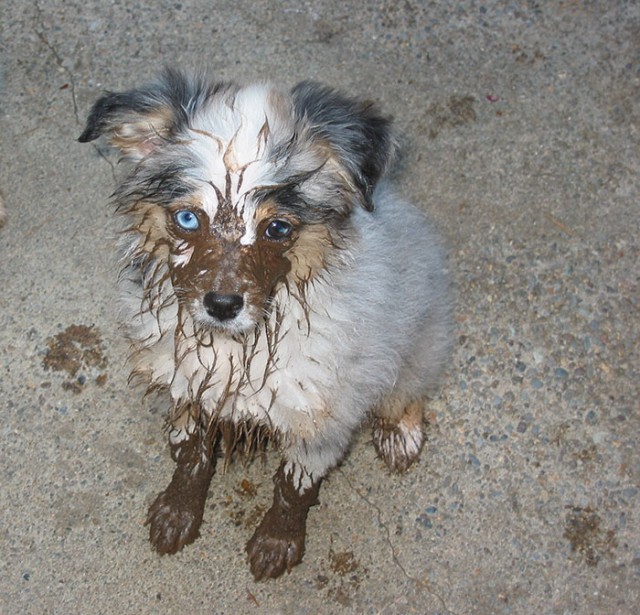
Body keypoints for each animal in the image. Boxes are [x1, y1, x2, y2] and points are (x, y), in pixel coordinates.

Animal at [79, 68, 450, 584]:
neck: (238, 344)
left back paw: (399, 433)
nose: (222, 305)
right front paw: (176, 513)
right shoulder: (187, 380)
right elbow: (191, 456)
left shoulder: (321, 415)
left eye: (277, 229)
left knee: (409, 383)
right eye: (187, 218)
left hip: (416, 330)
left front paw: (277, 543)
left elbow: (293, 488)